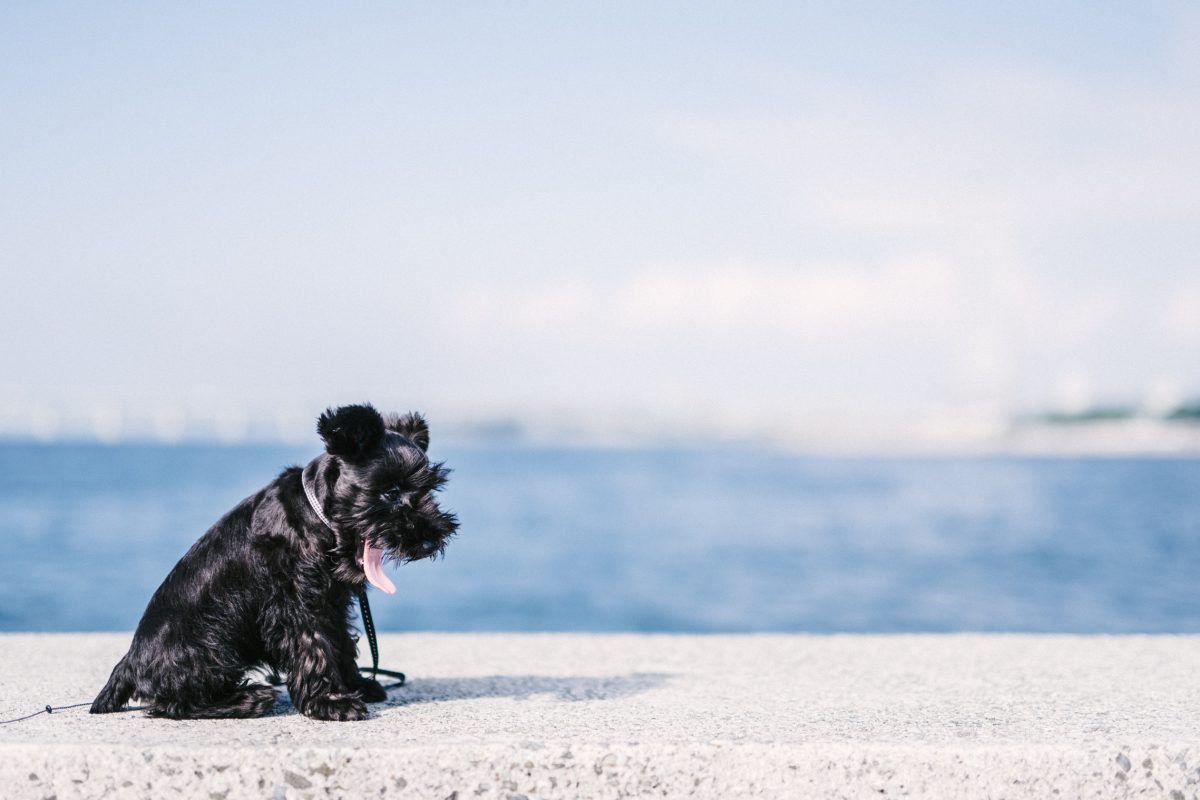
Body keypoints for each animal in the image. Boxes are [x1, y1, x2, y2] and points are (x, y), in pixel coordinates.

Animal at [90, 402, 458, 724]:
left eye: (430, 488)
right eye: (390, 491)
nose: (430, 539)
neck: (319, 519)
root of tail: (130, 664)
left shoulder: (333, 603)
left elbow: (340, 644)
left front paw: (356, 685)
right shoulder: (295, 606)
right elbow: (314, 648)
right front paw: (330, 703)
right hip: (210, 644)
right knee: (172, 704)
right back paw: (249, 699)